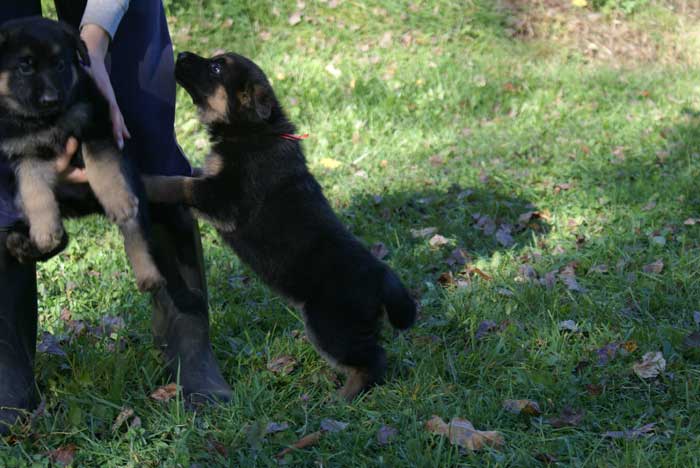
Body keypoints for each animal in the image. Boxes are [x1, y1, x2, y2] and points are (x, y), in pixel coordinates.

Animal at [144, 53, 416, 400]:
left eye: (216, 67)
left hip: (330, 326)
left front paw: (146, 181)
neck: (253, 130)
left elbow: (180, 184)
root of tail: (382, 276)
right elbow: (191, 175)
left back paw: (344, 397)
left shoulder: (226, 198)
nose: (181, 55)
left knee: (372, 360)